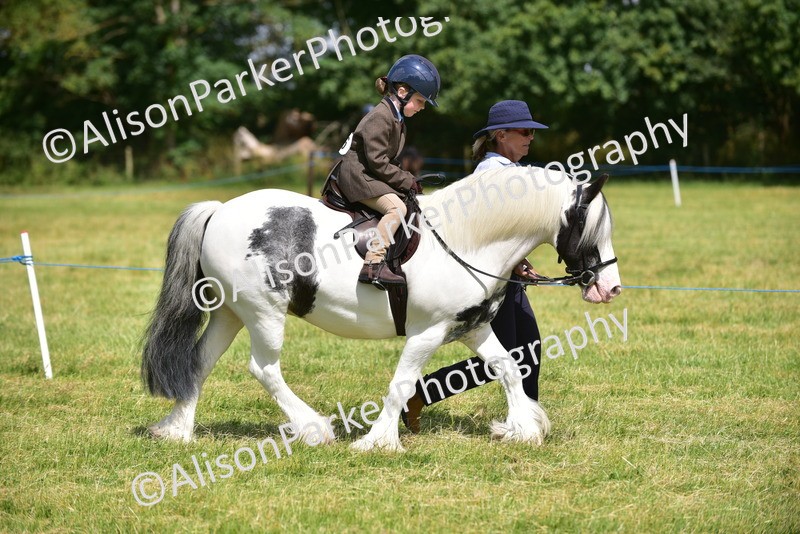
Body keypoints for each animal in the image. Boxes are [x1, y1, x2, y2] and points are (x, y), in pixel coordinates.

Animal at [141, 166, 621, 451]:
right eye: (589, 227)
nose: (611, 288)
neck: (466, 240)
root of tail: (220, 210)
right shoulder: (427, 333)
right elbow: (401, 384)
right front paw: (379, 441)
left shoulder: (472, 327)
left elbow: (508, 368)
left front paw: (522, 428)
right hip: (263, 314)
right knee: (264, 368)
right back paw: (314, 428)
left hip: (230, 314)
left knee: (199, 362)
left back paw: (177, 429)